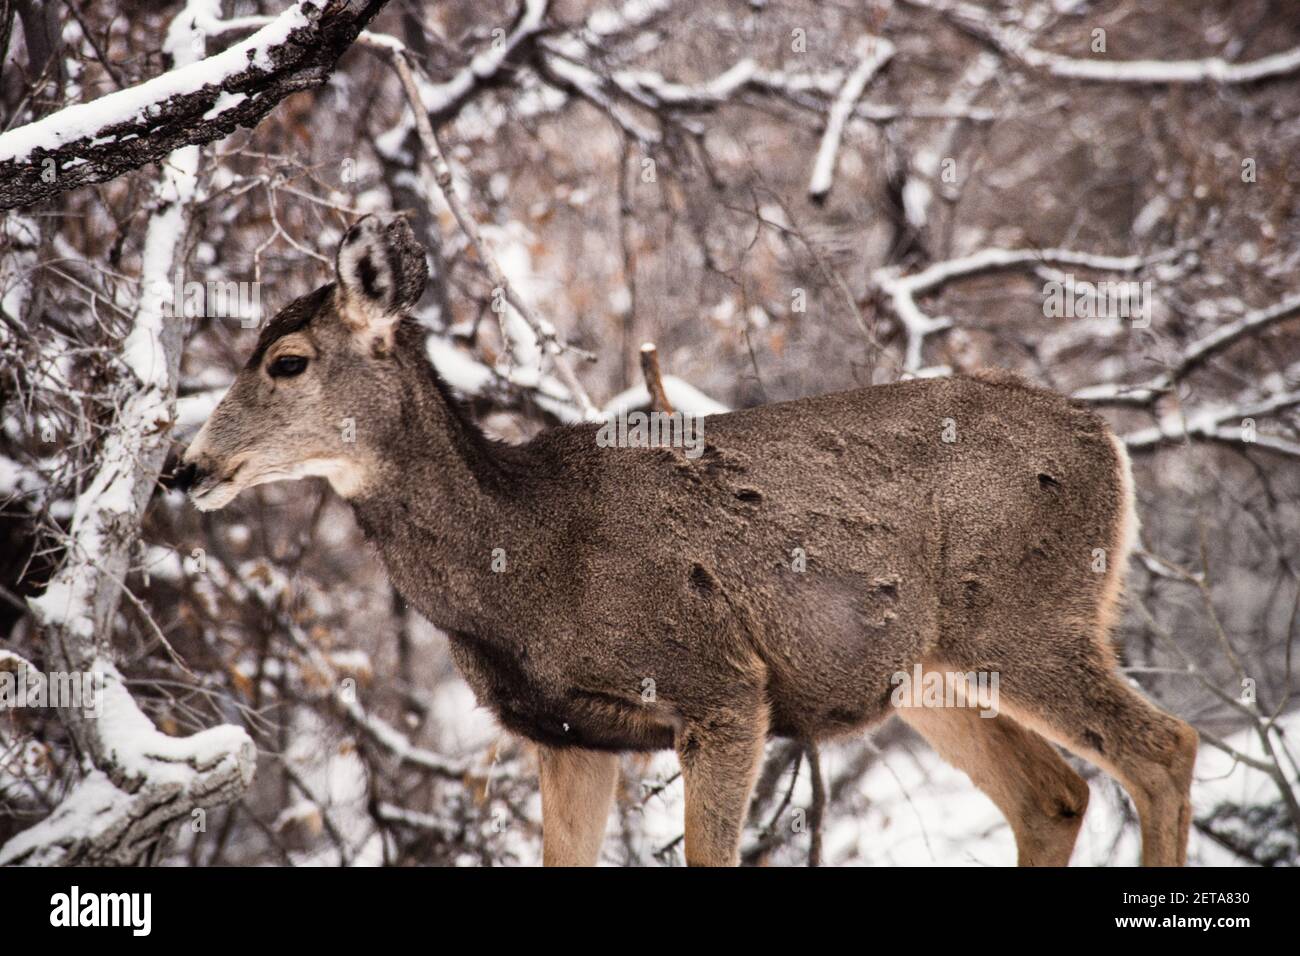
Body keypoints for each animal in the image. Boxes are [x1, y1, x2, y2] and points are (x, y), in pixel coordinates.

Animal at [177, 215, 1198, 867]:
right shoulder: (568, 734)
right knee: (1055, 796)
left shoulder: (721, 685)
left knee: (1164, 749)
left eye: (287, 361)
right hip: (931, 674)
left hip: (1029, 618)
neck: (528, 564)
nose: (185, 468)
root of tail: (1109, 442)